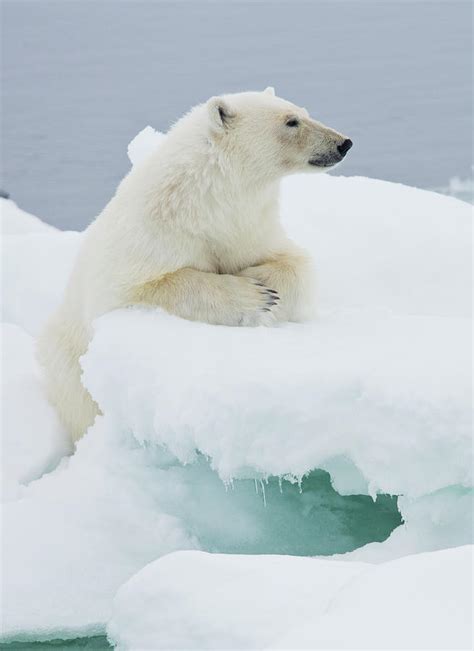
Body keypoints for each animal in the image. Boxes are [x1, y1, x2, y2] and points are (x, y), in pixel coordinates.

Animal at [37, 88, 352, 444]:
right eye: (291, 121)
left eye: (303, 112)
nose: (343, 143)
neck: (204, 201)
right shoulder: (149, 236)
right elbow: (139, 289)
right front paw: (254, 296)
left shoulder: (250, 227)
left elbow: (297, 262)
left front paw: (262, 281)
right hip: (68, 369)